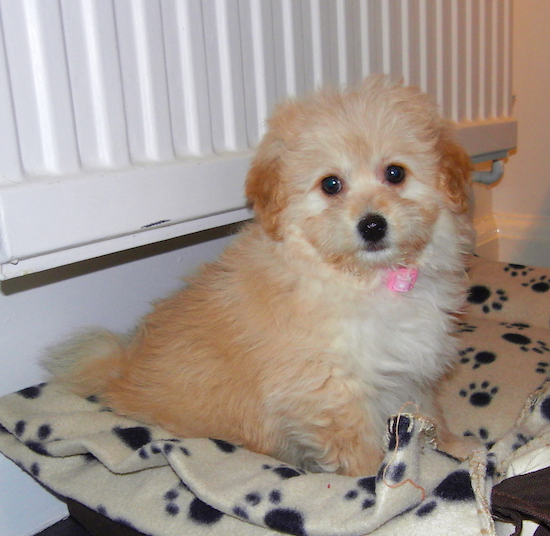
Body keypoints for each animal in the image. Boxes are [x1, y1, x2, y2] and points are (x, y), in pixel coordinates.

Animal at [45, 76, 476, 478]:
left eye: (395, 173)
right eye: (331, 184)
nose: (372, 225)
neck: (367, 279)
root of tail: (121, 367)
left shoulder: (411, 368)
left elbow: (429, 411)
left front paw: (456, 446)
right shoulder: (329, 389)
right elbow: (360, 447)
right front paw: (376, 486)